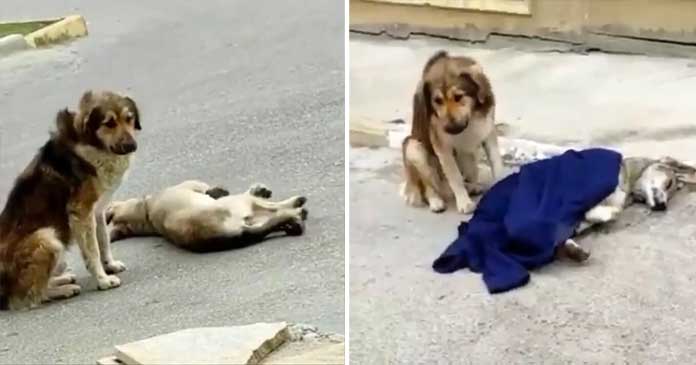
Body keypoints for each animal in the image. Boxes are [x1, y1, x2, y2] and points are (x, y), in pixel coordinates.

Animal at [0, 89, 141, 308]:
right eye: (109, 123)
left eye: (129, 118)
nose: (132, 145)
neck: (91, 145)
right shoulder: (81, 212)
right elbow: (92, 250)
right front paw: (103, 280)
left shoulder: (97, 210)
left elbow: (103, 240)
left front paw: (109, 265)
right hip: (48, 238)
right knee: (28, 297)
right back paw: (63, 289)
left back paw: (62, 279)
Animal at [105, 180, 308, 253]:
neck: (145, 212)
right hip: (239, 204)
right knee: (275, 208)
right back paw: (296, 209)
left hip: (252, 221)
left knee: (273, 218)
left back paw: (291, 222)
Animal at [400, 48, 502, 213]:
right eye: (437, 101)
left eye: (458, 96)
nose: (448, 128)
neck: (471, 118)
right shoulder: (442, 147)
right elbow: (455, 177)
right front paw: (464, 202)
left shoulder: (487, 131)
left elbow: (496, 164)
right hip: (413, 147)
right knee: (428, 184)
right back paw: (435, 201)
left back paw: (472, 186)